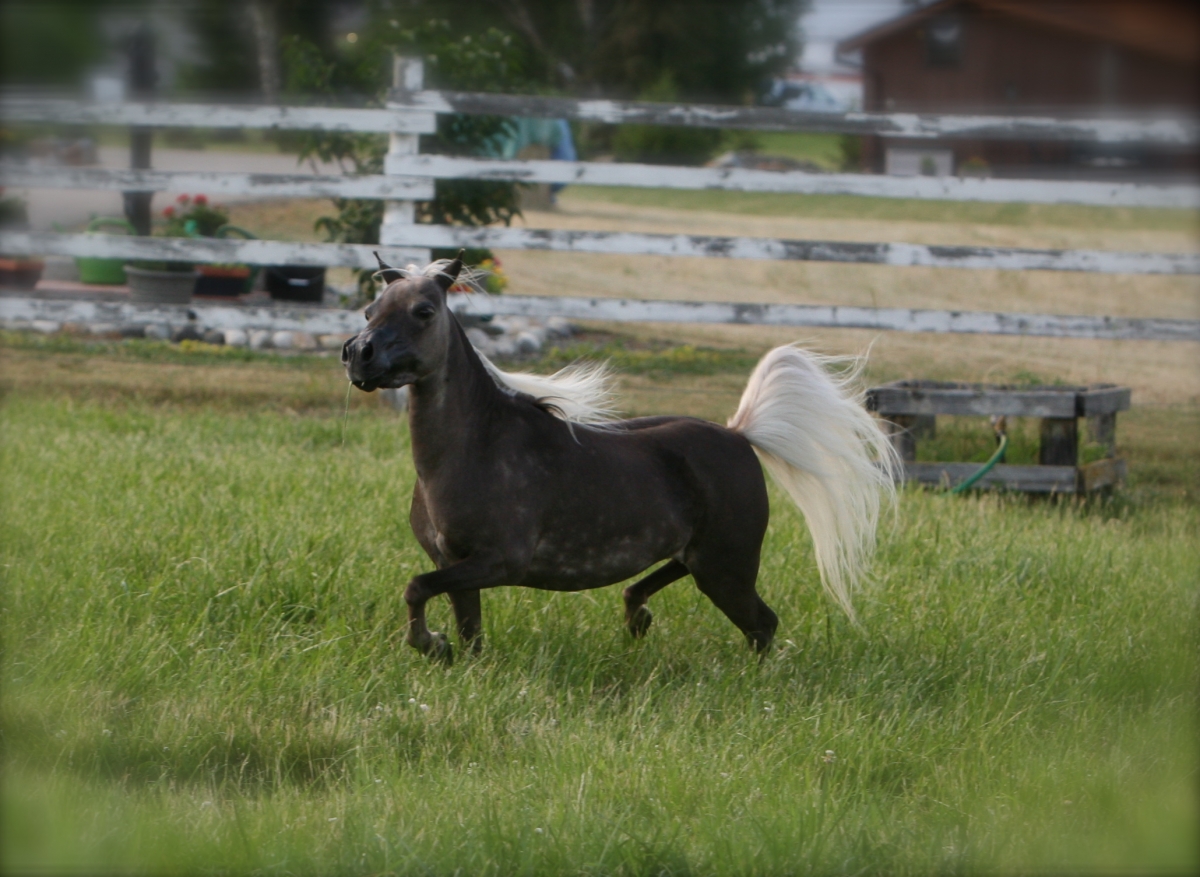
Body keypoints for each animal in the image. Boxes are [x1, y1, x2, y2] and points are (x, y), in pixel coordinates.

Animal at [342, 252, 900, 663]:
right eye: (370, 311)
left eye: (423, 311)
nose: (357, 355)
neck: (476, 447)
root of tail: (738, 434)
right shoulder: (454, 563)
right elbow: (467, 631)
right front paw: (448, 653)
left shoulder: (497, 561)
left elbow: (415, 589)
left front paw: (428, 644)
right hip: (701, 557)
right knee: (655, 585)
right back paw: (636, 617)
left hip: (729, 566)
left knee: (763, 625)